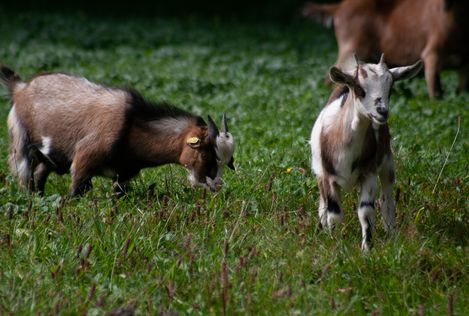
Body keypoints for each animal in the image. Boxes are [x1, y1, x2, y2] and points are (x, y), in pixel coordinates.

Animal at [0, 65, 234, 196]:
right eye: (205, 154)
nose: (215, 186)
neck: (132, 127)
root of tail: (20, 88)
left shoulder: (124, 174)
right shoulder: (84, 159)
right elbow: (76, 191)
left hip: (50, 156)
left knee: (40, 174)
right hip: (21, 144)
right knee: (25, 176)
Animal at [304, 0, 468, 98]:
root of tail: (338, 8)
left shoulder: (464, 66)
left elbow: (461, 89)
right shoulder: (431, 54)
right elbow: (436, 93)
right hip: (351, 50)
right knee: (331, 78)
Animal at [308, 55, 422, 251]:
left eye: (390, 88)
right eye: (360, 88)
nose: (382, 112)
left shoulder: (369, 173)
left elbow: (366, 211)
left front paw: (367, 248)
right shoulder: (328, 177)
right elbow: (334, 213)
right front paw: (336, 244)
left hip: (387, 163)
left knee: (387, 201)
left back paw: (392, 234)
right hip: (319, 173)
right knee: (323, 204)